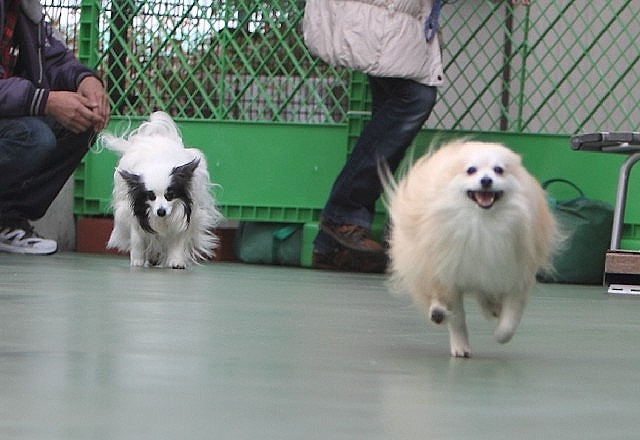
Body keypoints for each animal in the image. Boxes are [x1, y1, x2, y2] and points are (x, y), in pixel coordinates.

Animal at [100, 111, 222, 269]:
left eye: (170, 195)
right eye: (151, 197)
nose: (161, 211)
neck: (158, 163)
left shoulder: (185, 216)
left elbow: (178, 240)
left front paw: (176, 261)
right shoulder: (135, 215)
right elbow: (138, 239)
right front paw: (137, 260)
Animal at [385, 140, 560, 357]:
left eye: (498, 170)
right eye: (471, 170)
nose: (486, 180)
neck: (481, 223)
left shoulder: (515, 276)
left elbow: (511, 318)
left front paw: (501, 334)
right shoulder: (450, 278)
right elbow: (458, 318)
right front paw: (460, 346)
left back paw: (491, 308)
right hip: (423, 263)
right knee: (433, 292)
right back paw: (438, 312)